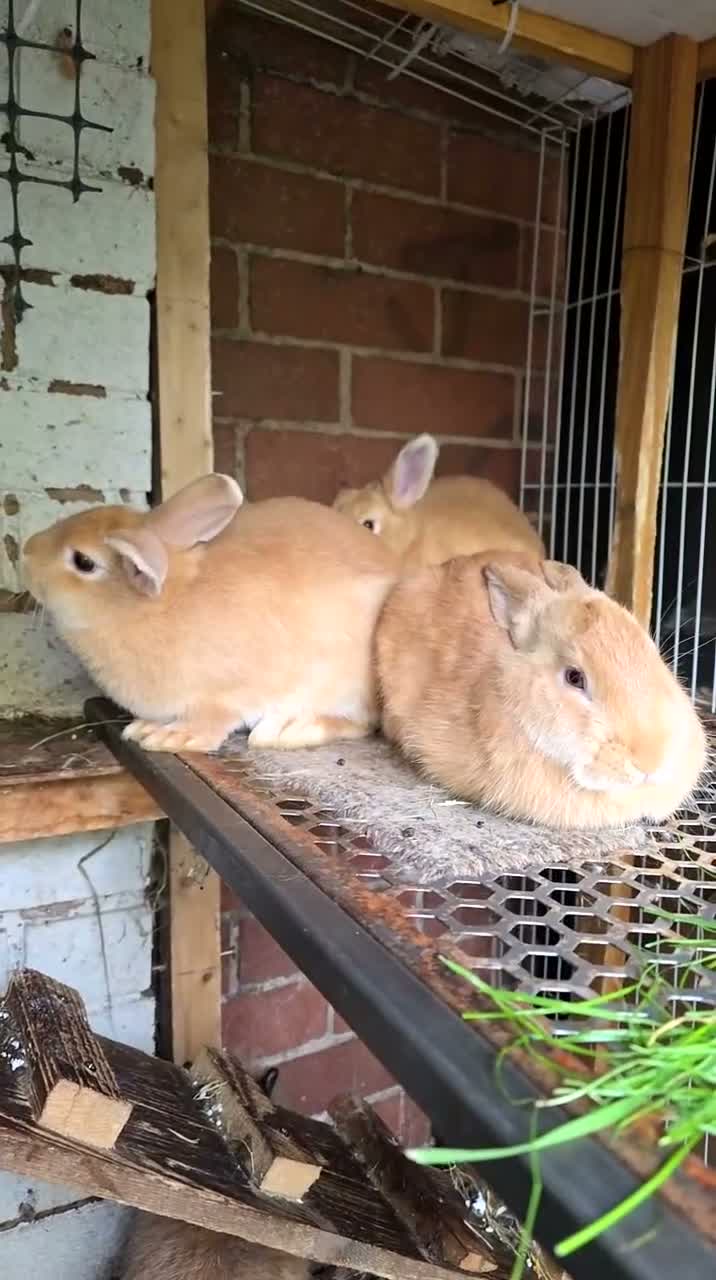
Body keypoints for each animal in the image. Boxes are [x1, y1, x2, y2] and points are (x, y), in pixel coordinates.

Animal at [23, 474, 398, 754]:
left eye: (83, 561)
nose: (26, 553)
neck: (160, 606)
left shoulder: (224, 695)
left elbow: (211, 722)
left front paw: (171, 737)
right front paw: (145, 728)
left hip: (345, 683)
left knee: (358, 722)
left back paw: (289, 729)